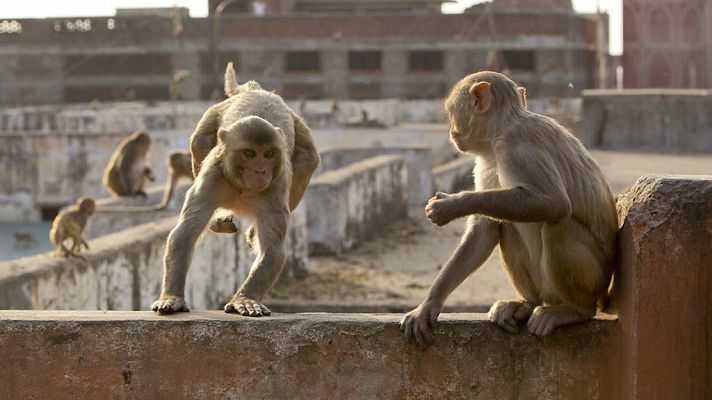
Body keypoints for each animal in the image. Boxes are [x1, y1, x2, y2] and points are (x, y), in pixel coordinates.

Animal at [152, 62, 320, 318]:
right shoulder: (212, 178)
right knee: (199, 141)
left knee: (308, 159)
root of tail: (258, 91)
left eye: (268, 154)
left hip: (298, 129)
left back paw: (250, 232)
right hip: (212, 117)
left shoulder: (276, 187)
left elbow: (273, 250)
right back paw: (220, 221)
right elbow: (184, 234)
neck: (242, 187)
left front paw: (245, 299)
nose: (260, 171)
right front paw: (172, 297)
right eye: (249, 153)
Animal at [400, 70, 616, 346]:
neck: (499, 131)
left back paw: (574, 311)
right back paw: (526, 303)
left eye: (451, 112)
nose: (451, 131)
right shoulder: (486, 163)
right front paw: (429, 305)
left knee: (557, 224)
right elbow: (484, 231)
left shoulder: (517, 150)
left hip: (593, 278)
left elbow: (554, 202)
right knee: (509, 224)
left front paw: (451, 205)